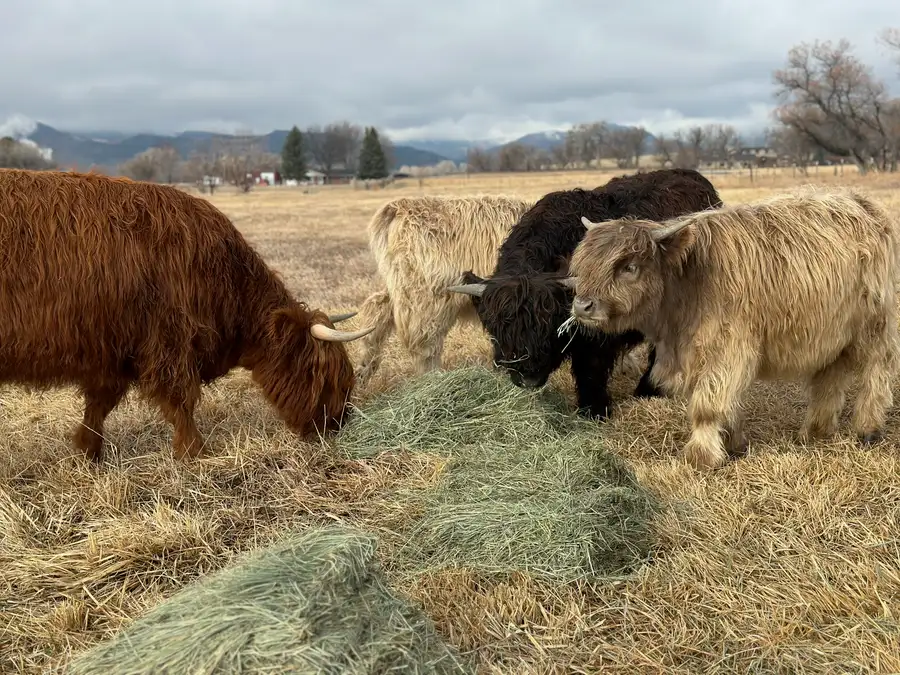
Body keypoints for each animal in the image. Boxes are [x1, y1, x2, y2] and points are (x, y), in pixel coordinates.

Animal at [0, 168, 375, 462]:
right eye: (332, 380)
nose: (339, 423)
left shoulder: (112, 352)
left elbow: (99, 405)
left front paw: (88, 450)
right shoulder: (168, 340)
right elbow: (181, 399)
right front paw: (194, 451)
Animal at [354, 194, 534, 381]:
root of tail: (399, 207)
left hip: (403, 288)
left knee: (377, 309)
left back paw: (364, 370)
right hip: (427, 297)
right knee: (424, 343)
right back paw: (435, 381)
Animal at [446, 168, 722, 420]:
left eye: (550, 326)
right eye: (499, 328)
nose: (528, 379)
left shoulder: (597, 336)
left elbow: (591, 369)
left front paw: (593, 411)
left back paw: (648, 390)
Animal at [565, 186, 900, 470]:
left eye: (629, 267)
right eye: (584, 265)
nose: (582, 305)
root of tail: (864, 203)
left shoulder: (728, 349)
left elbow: (707, 405)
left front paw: (701, 457)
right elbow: (727, 402)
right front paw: (734, 444)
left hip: (875, 324)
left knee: (877, 370)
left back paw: (868, 429)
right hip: (833, 331)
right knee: (830, 378)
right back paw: (816, 431)